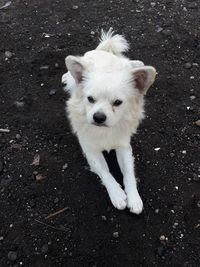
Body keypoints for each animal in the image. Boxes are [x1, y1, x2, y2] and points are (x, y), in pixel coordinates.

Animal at [61, 29, 156, 215]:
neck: (105, 131)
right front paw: (117, 194)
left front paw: (134, 198)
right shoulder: (91, 151)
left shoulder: (124, 147)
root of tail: (102, 51)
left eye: (117, 103)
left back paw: (137, 64)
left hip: (124, 64)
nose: (98, 117)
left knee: (128, 63)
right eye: (90, 99)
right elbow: (105, 172)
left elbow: (129, 173)